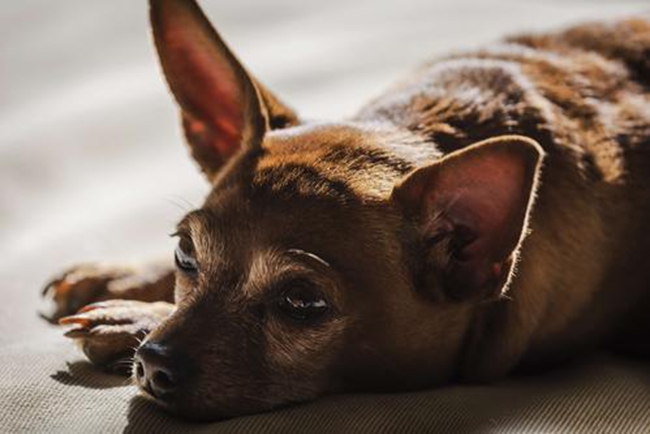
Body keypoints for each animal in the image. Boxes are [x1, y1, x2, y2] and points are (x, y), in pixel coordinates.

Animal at [41, 0, 648, 420]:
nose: (154, 361)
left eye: (302, 302)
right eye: (185, 256)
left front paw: (134, 316)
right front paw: (127, 281)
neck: (438, 122)